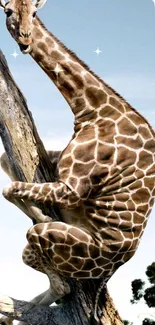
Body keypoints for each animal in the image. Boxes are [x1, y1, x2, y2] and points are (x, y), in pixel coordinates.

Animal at [0, 0, 155, 322]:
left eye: (35, 12)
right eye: (8, 10)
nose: (25, 39)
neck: (91, 109)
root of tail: (110, 269)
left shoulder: (72, 188)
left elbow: (10, 189)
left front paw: (44, 213)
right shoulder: (55, 165)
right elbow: (5, 163)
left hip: (58, 245)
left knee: (61, 284)